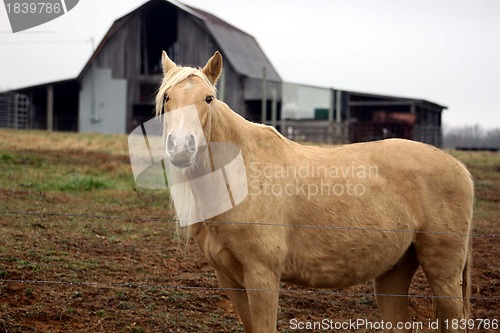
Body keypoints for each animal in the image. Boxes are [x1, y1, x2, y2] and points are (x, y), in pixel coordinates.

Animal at [155, 50, 472, 330]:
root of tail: (460, 167)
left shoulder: (262, 277)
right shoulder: (230, 280)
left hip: (444, 276)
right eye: (167, 97)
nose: (181, 147)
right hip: (393, 272)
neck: (240, 177)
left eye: (208, 99)